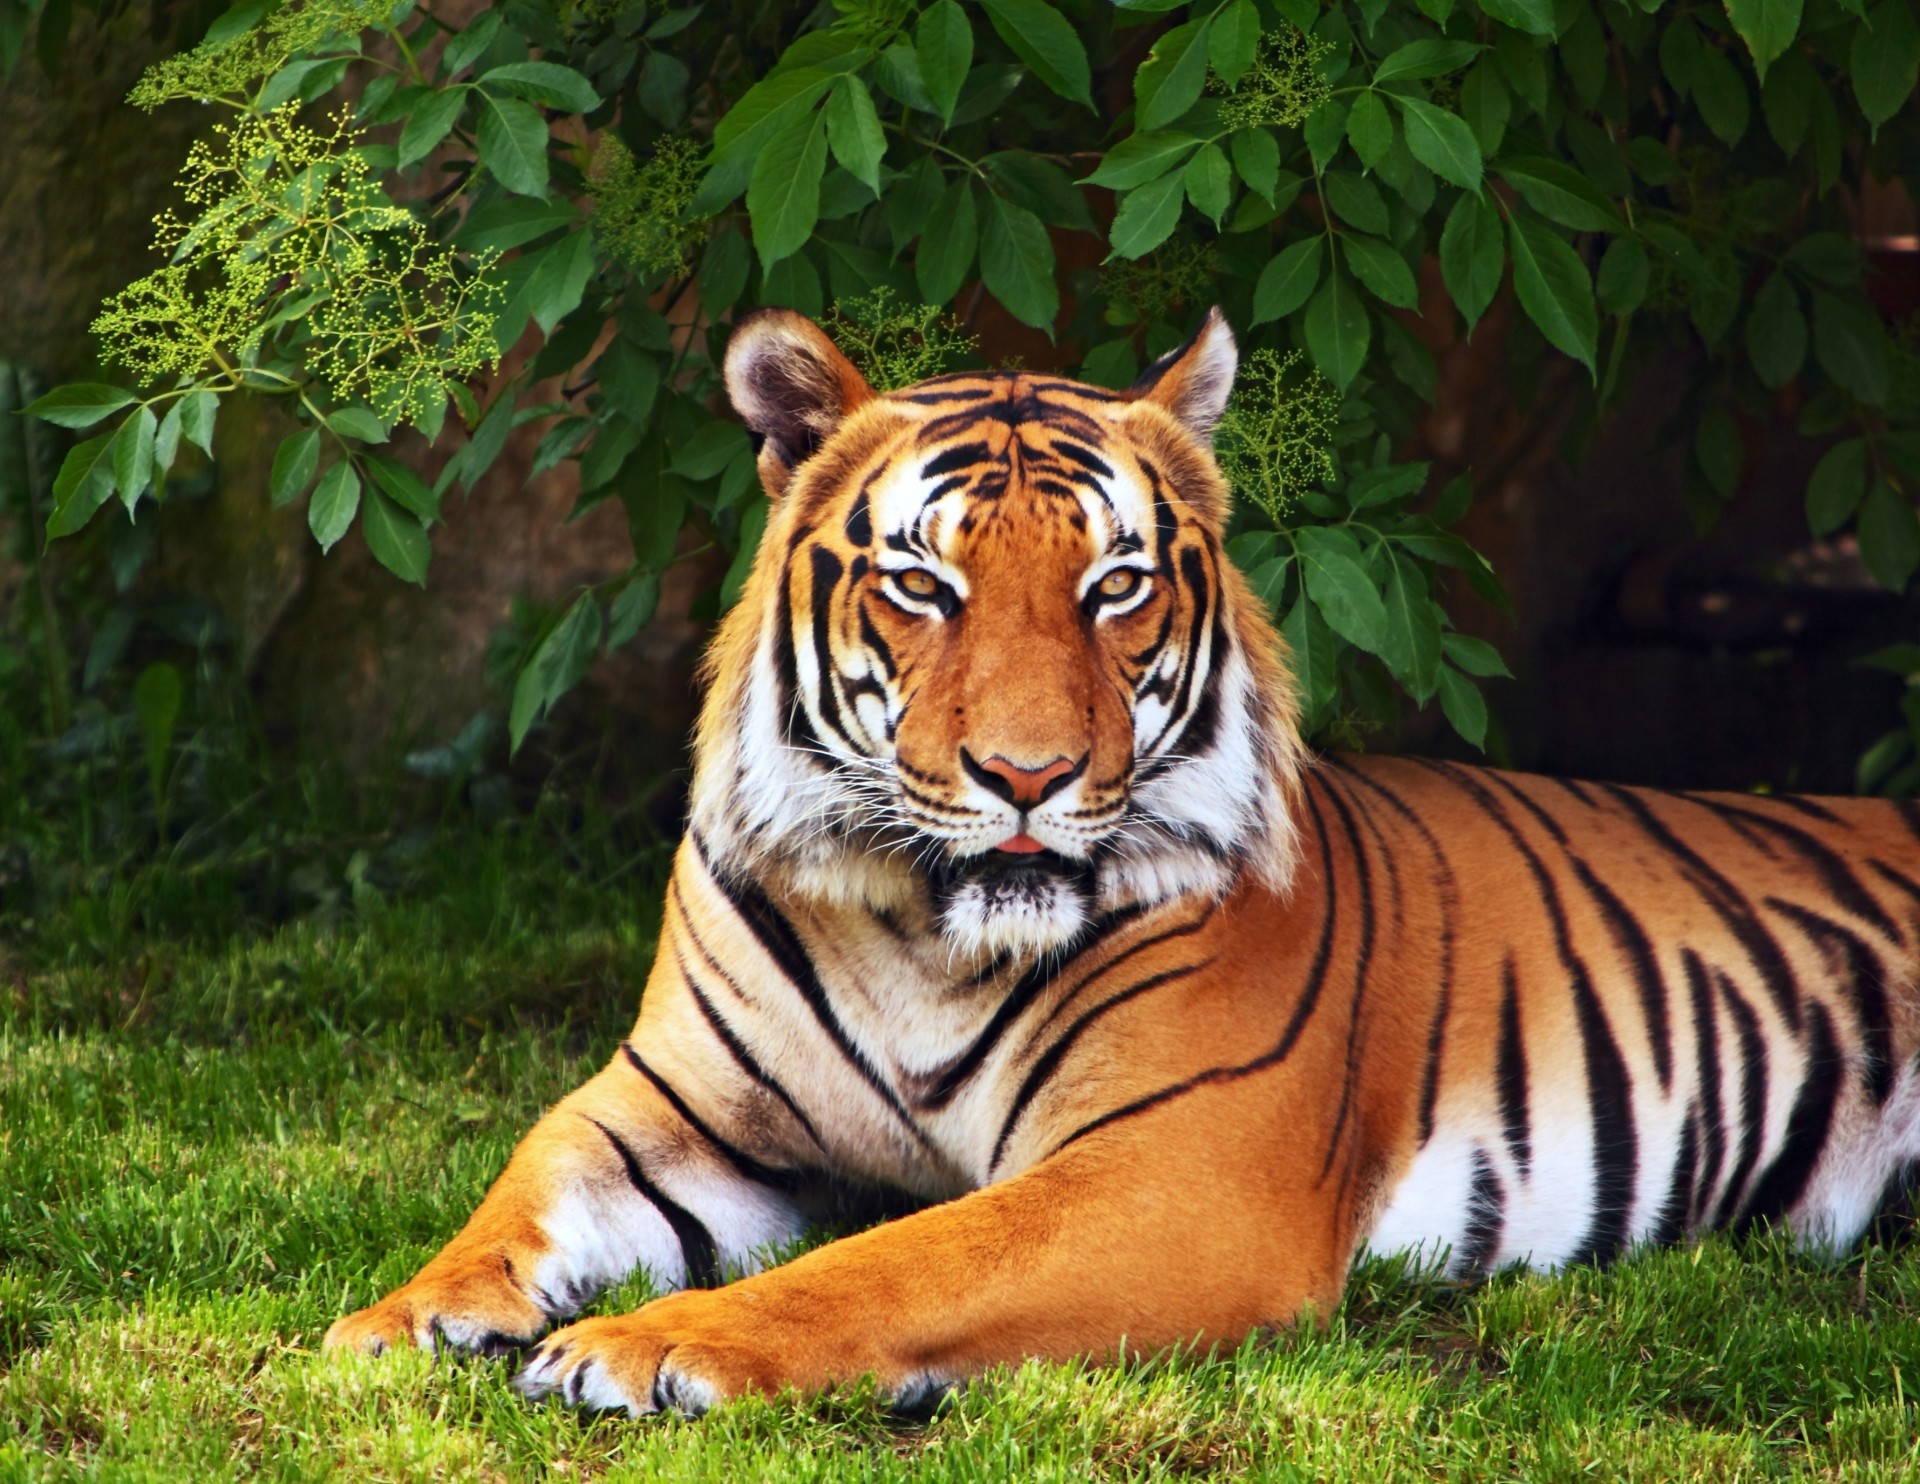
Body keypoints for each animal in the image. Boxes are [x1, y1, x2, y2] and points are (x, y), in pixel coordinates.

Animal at [324, 306, 1920, 1417]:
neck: (921, 932)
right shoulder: (673, 1108)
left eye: (1116, 585)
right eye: (924, 583)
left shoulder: (1176, 1169)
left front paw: (645, 1346)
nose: (1028, 777)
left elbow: (895, 1259)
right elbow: (525, 1183)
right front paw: (395, 1320)